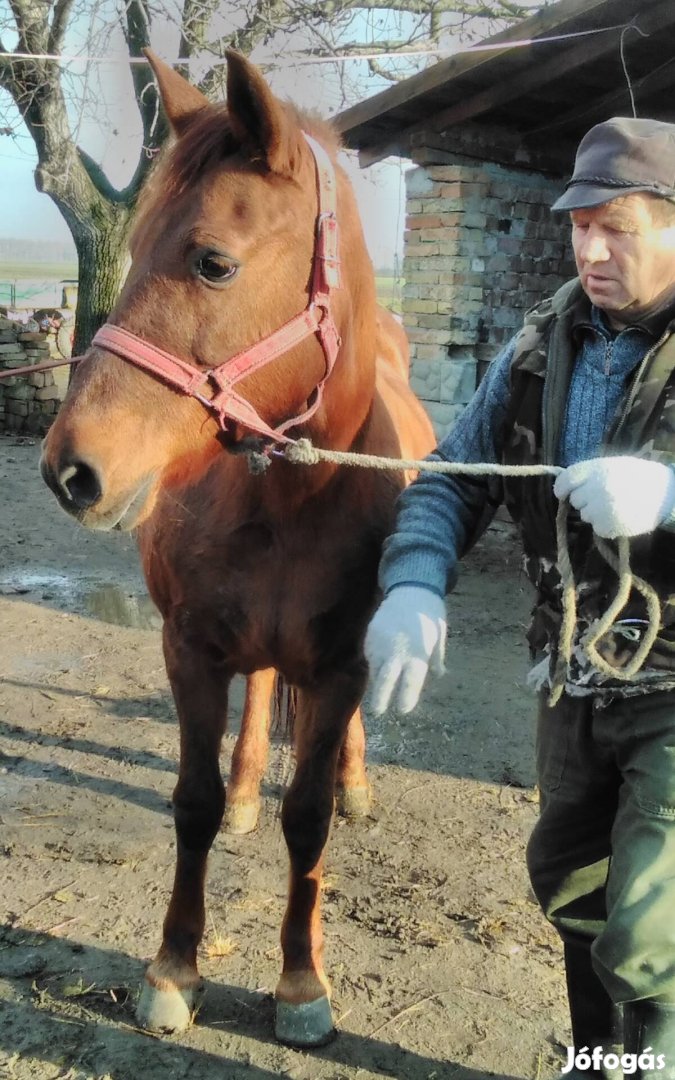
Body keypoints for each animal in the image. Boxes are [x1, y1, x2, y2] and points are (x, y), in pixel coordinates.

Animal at [40, 50, 432, 1045]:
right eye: (135, 248)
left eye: (212, 263)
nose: (71, 471)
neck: (292, 493)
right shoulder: (189, 650)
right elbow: (194, 802)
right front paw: (175, 968)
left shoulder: (339, 666)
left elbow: (310, 822)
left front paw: (301, 984)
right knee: (258, 701)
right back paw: (253, 784)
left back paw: (357, 785)